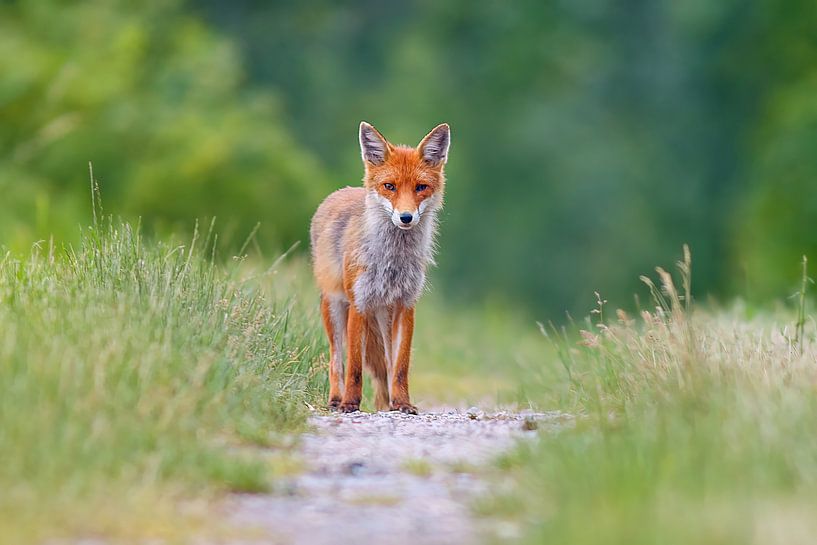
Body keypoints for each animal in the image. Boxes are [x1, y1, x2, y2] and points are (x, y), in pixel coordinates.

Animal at [310, 121, 451, 414]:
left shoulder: (406, 305)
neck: (392, 261)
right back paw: (336, 399)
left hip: (384, 317)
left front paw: (402, 403)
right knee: (336, 359)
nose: (406, 217)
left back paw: (387, 402)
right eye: (390, 186)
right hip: (335, 306)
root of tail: (340, 192)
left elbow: (400, 366)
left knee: (385, 363)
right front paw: (351, 403)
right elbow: (354, 366)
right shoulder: (359, 303)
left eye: (421, 187)